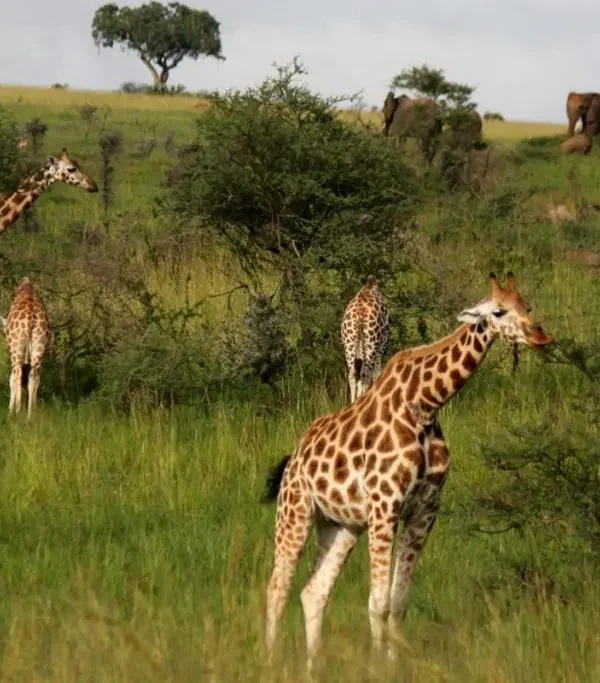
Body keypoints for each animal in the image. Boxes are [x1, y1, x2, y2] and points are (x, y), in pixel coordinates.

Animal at [2, 277, 51, 418]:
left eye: (4, 333)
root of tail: (30, 317)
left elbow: (12, 379)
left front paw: (11, 411)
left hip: (16, 348)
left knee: (17, 375)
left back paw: (16, 413)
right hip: (39, 344)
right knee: (34, 377)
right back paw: (30, 415)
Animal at [341, 275, 390, 403]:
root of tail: (359, 314)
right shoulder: (381, 346)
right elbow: (377, 373)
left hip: (349, 343)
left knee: (353, 375)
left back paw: (354, 403)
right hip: (371, 344)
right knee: (366, 375)